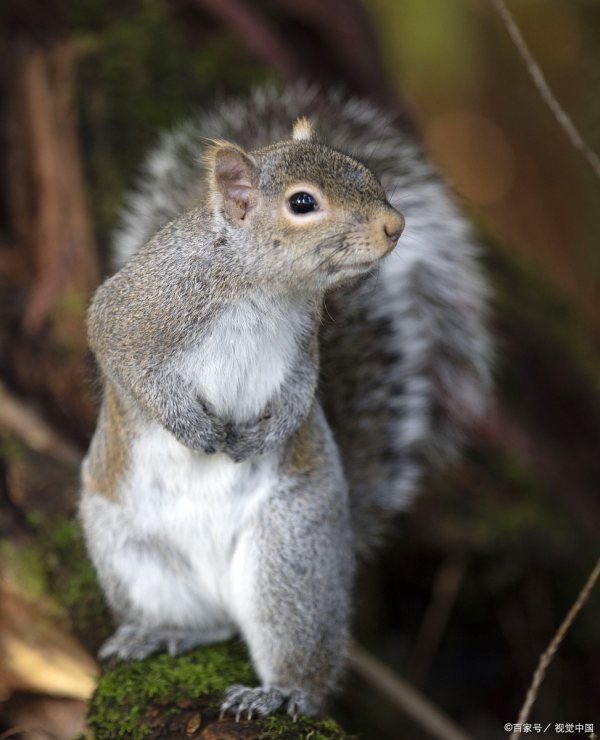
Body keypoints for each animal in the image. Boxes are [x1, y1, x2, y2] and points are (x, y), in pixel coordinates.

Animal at [81, 84, 492, 720]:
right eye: (302, 203)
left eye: (368, 173)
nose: (396, 225)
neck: (263, 286)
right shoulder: (132, 313)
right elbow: (128, 366)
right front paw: (193, 428)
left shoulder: (303, 351)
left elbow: (300, 396)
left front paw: (265, 436)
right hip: (133, 555)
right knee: (208, 624)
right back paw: (162, 633)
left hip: (289, 558)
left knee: (294, 654)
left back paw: (278, 692)